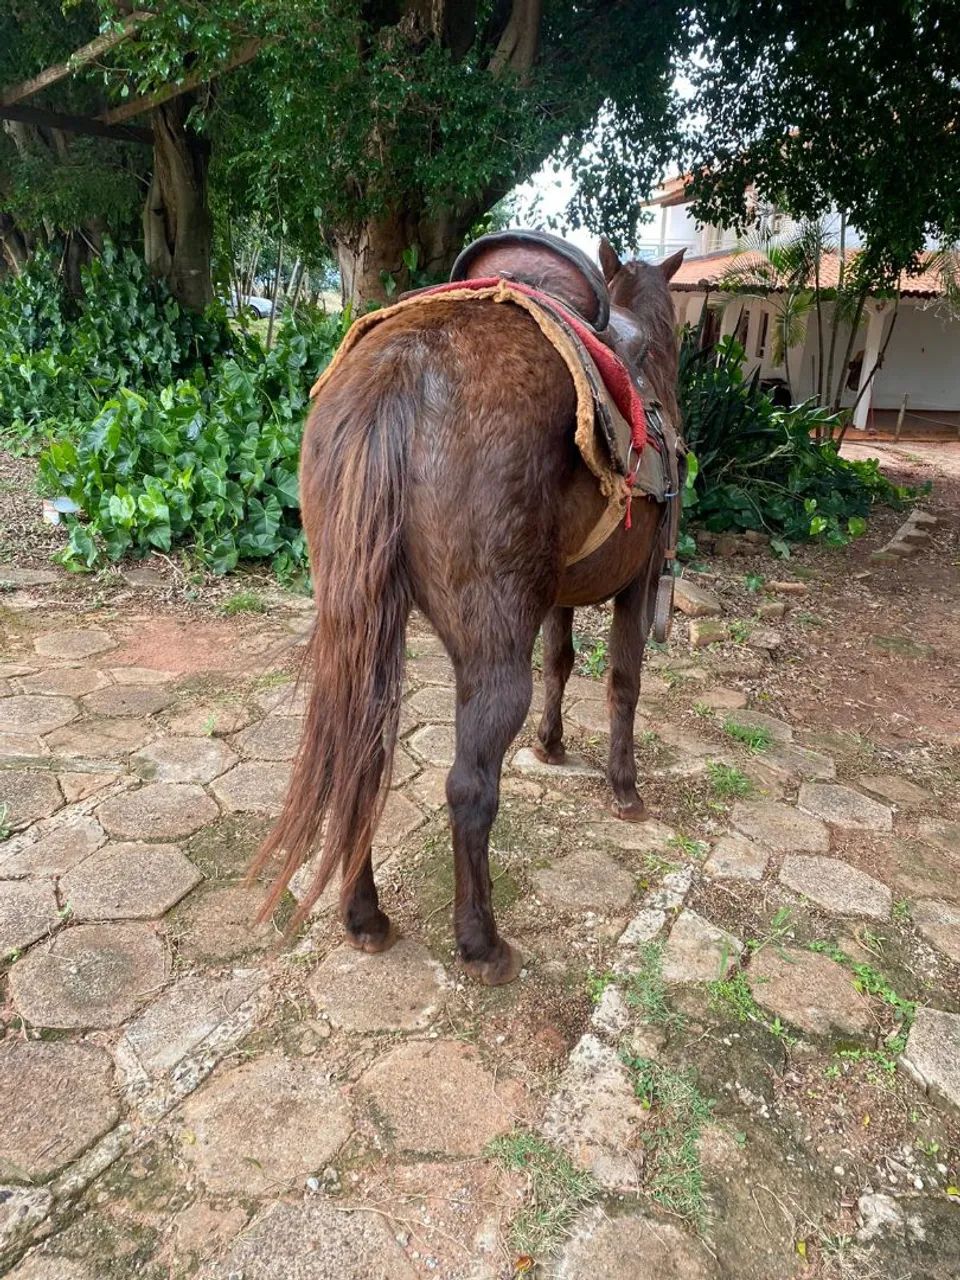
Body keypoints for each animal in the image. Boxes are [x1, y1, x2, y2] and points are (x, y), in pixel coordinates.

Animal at [249, 238, 686, 985]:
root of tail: (400, 371)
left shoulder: (559, 595)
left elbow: (562, 660)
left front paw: (551, 745)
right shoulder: (638, 580)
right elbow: (622, 683)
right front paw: (624, 789)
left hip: (366, 627)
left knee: (362, 756)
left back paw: (365, 918)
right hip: (489, 648)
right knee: (469, 787)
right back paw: (482, 942)